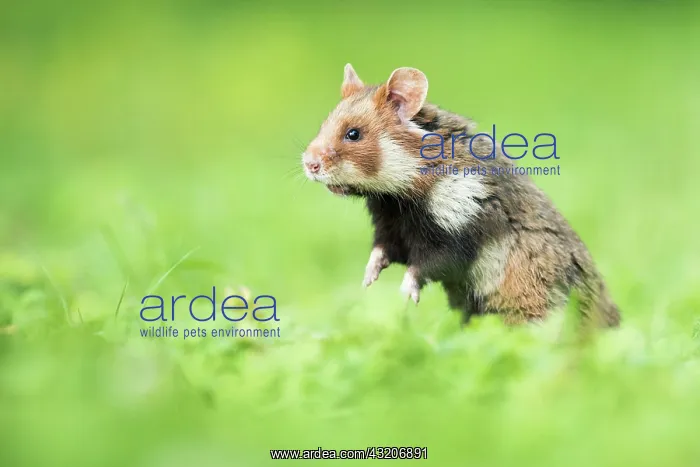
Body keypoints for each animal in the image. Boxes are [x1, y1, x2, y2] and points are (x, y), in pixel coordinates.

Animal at [302, 64, 620, 326]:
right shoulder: (389, 225)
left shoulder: (459, 231)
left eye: (353, 134)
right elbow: (382, 251)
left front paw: (405, 297)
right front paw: (367, 280)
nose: (308, 164)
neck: (399, 196)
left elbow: (424, 267)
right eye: (324, 124)